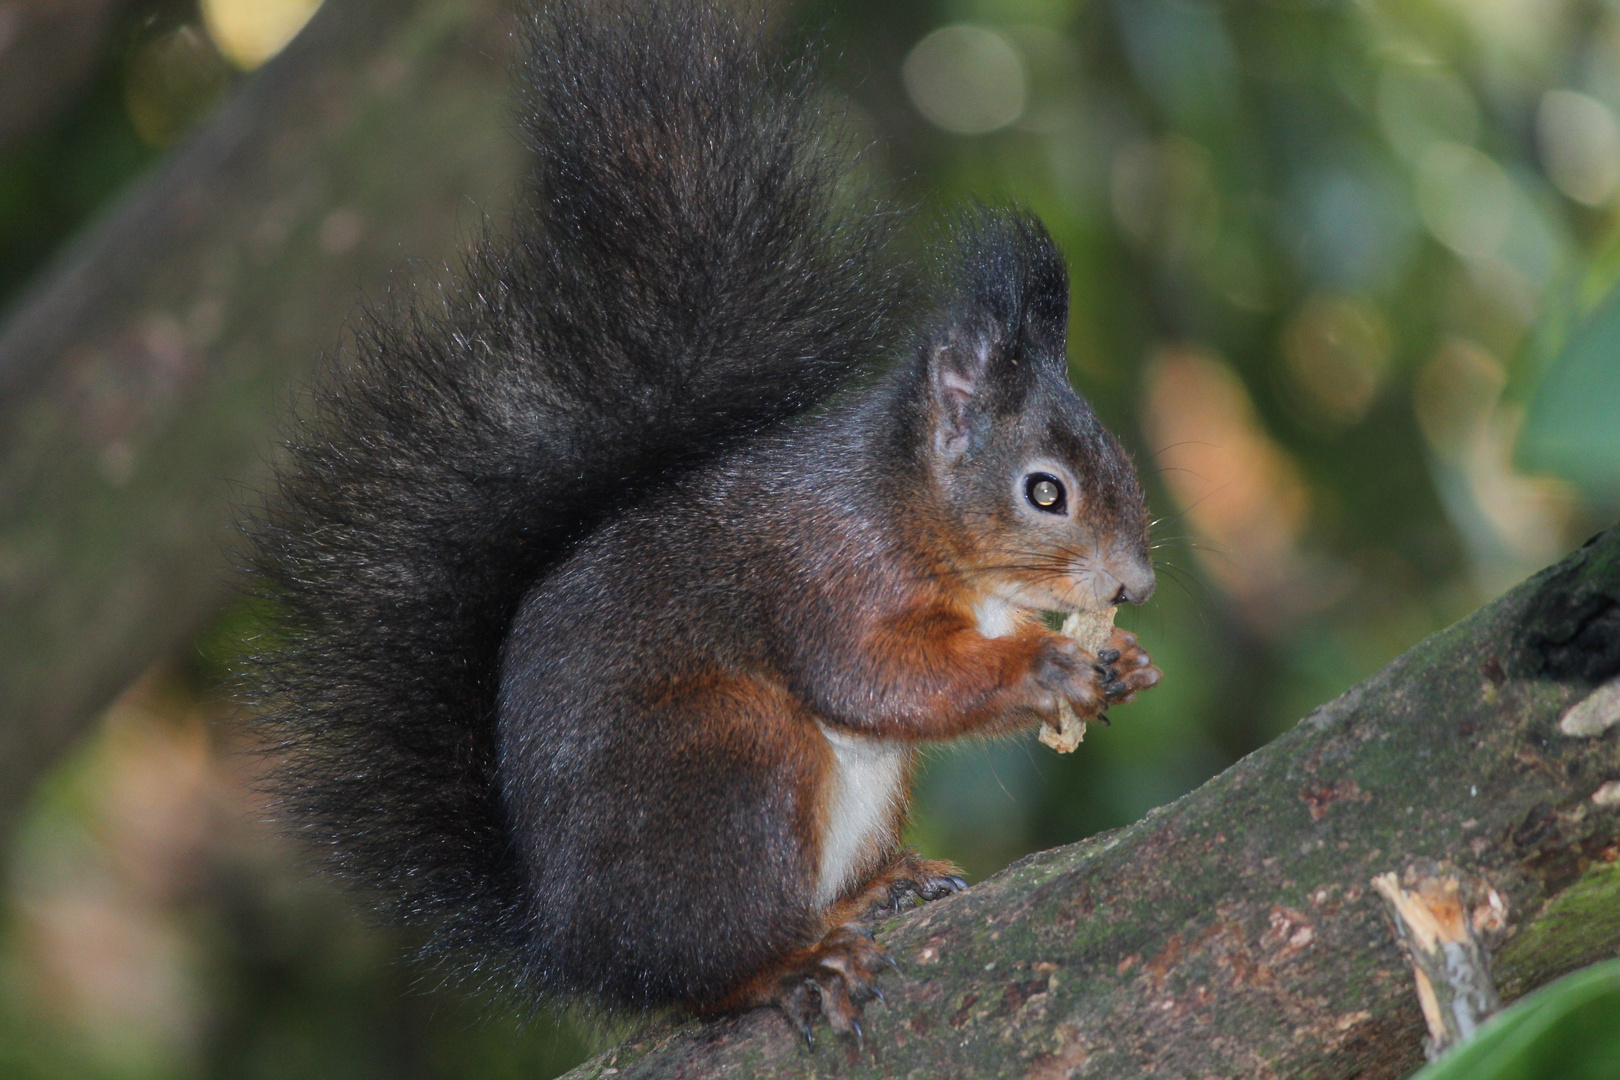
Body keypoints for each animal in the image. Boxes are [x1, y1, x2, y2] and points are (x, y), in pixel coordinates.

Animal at [239, 0, 1159, 1049]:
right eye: (1045, 492)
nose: (1136, 587)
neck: (910, 513)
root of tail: (573, 945)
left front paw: (1121, 662)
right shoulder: (829, 570)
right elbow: (873, 676)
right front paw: (1044, 667)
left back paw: (876, 891)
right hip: (729, 762)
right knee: (704, 971)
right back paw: (793, 963)